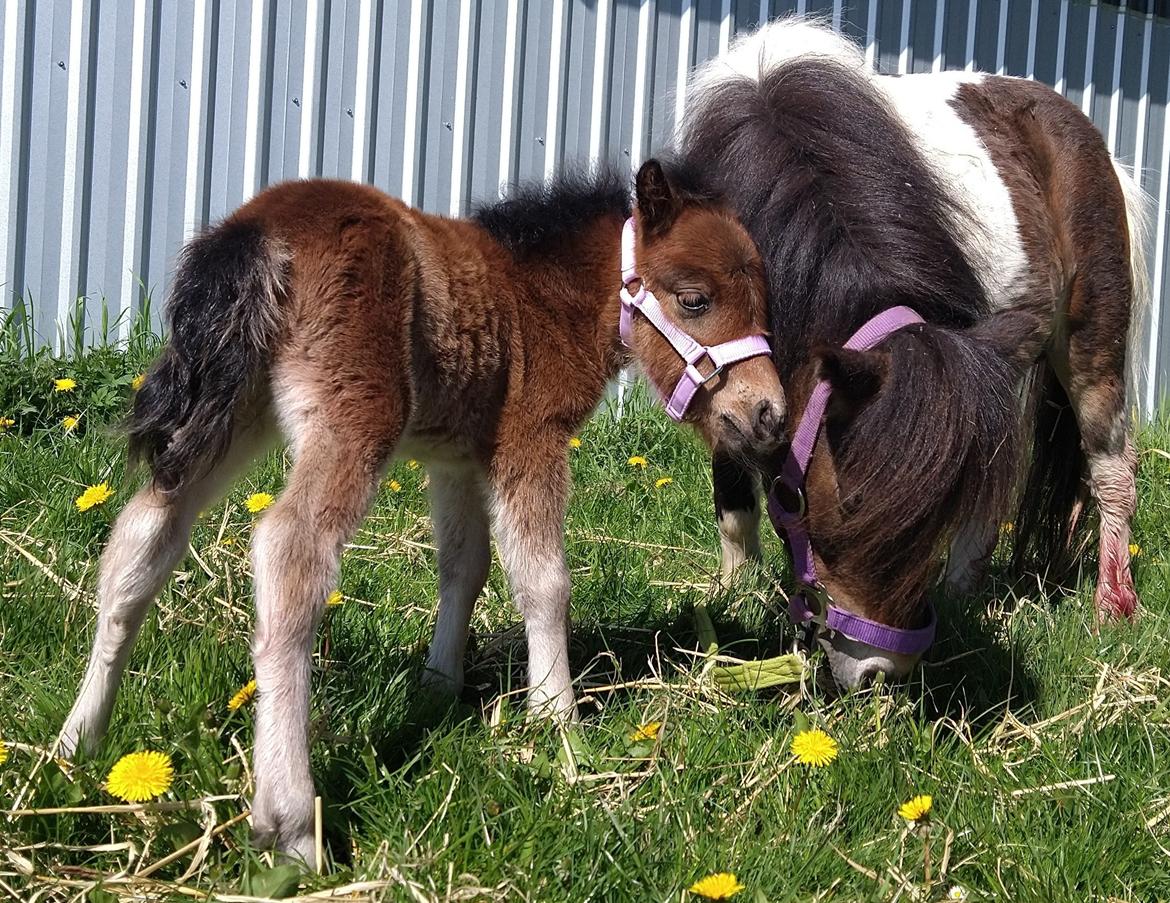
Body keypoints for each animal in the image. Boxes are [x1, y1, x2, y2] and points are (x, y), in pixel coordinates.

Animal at [59, 159, 781, 865]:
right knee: (290, 551)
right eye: (695, 299)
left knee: (144, 537)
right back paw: (290, 826)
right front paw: (557, 719)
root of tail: (258, 231)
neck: (534, 296)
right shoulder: (530, 437)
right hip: (350, 417)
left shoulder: (457, 457)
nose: (769, 414)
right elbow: (543, 580)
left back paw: (76, 747)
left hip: (233, 415)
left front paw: (439, 686)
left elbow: (465, 566)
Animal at [683, 17, 1146, 687]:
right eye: (836, 510)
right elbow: (733, 495)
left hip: (1090, 342)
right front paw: (735, 595)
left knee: (1111, 466)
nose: (882, 671)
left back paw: (1111, 606)